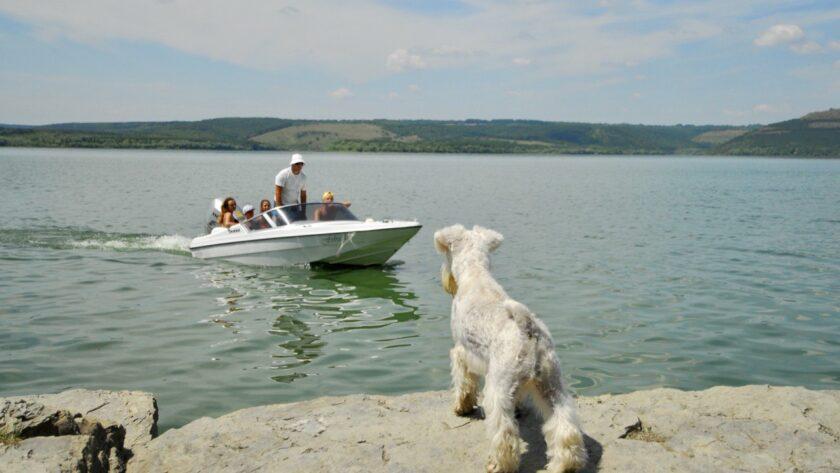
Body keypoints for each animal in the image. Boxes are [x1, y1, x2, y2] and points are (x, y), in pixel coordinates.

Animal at [436, 223, 588, 470]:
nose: (446, 281)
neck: (476, 275)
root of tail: (529, 329)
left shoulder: (461, 352)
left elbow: (464, 384)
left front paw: (462, 407)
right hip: (552, 386)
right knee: (565, 427)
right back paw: (565, 465)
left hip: (498, 389)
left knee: (504, 435)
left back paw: (497, 465)